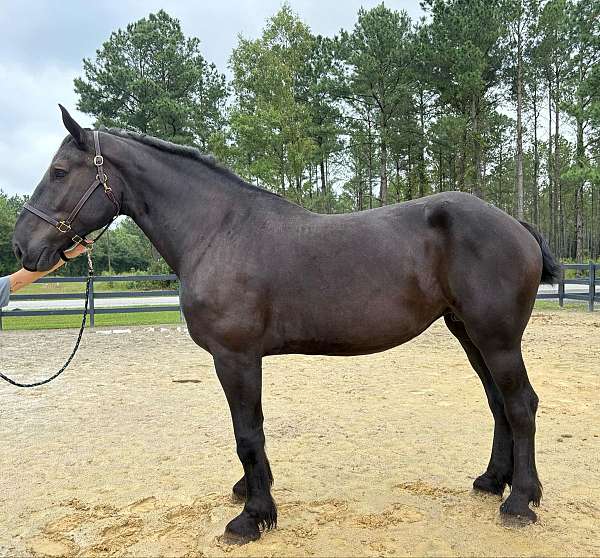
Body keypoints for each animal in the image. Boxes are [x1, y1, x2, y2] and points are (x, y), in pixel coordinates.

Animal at [12, 107, 556, 544]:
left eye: (59, 171)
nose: (21, 247)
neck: (218, 232)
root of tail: (515, 224)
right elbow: (249, 433)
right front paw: (250, 494)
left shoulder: (235, 358)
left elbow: (248, 433)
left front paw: (253, 517)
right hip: (469, 333)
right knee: (499, 405)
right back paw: (493, 482)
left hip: (496, 337)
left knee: (520, 405)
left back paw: (521, 501)